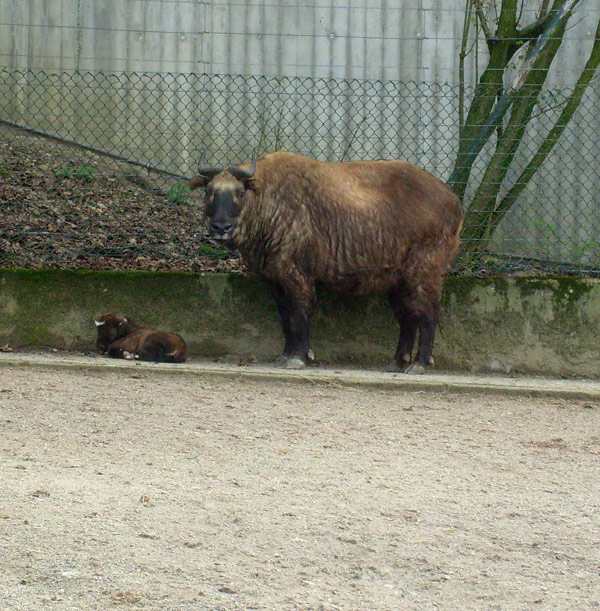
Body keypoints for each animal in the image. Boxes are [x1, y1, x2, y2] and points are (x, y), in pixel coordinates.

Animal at [190, 152, 462, 372]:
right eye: (209, 191)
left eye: (239, 192)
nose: (220, 227)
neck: (269, 199)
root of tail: (453, 200)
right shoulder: (275, 279)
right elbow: (285, 317)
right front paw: (286, 354)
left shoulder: (296, 274)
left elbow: (299, 312)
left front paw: (299, 356)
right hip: (399, 280)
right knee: (408, 318)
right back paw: (397, 361)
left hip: (423, 272)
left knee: (428, 315)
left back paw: (420, 363)